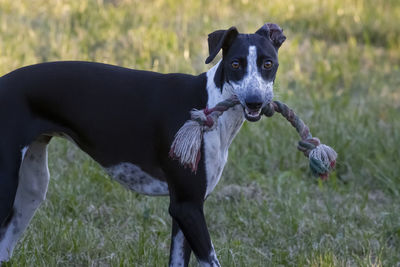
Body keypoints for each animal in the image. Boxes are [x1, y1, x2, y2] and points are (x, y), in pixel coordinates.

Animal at [1, 23, 286, 267]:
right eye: (235, 63)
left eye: (268, 64)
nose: (254, 101)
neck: (212, 102)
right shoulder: (187, 207)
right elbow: (212, 260)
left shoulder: (184, 209)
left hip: (31, 190)